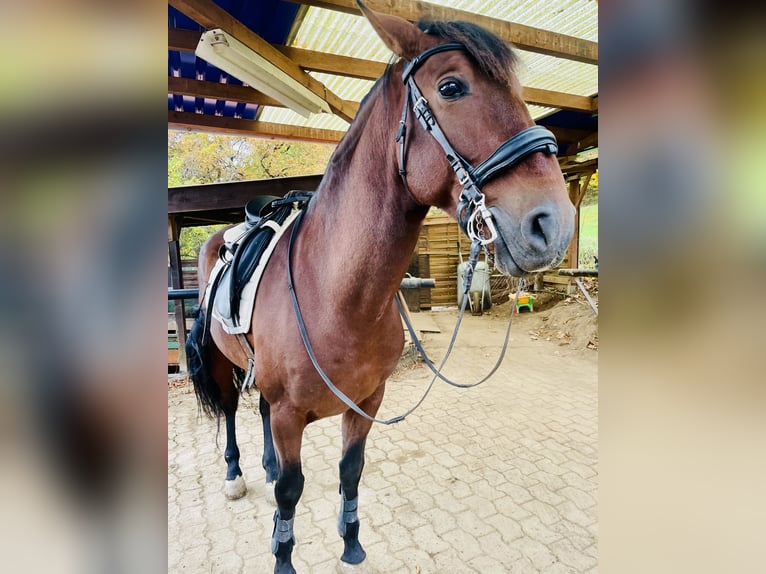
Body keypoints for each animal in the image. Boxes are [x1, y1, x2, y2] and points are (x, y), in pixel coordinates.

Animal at [186, 2, 576, 572]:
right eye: (452, 87)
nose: (555, 225)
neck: (336, 298)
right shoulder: (290, 415)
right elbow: (290, 491)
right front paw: (283, 556)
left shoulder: (366, 401)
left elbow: (350, 470)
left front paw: (350, 542)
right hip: (222, 363)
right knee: (234, 410)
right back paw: (236, 473)